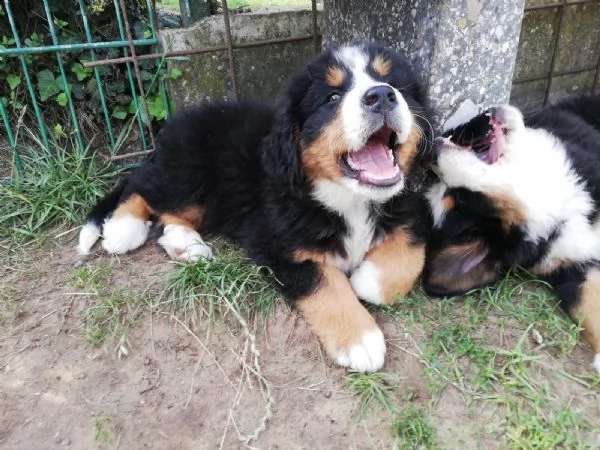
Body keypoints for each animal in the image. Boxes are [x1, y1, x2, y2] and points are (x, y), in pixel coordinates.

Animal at [78, 43, 436, 372]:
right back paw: (123, 228)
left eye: (396, 85)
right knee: (142, 185)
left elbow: (410, 252)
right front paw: (360, 339)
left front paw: (366, 279)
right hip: (191, 172)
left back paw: (184, 245)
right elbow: (323, 279)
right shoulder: (274, 241)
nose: (382, 95)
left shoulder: (409, 207)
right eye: (332, 98)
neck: (351, 201)